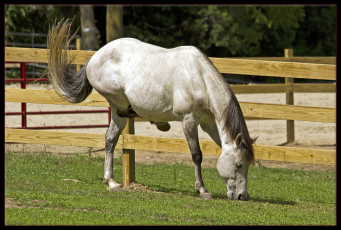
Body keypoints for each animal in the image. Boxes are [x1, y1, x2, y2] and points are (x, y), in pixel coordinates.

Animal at [47, 18, 255, 200]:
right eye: (238, 164)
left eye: (247, 165)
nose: (242, 196)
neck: (199, 78)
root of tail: (95, 57)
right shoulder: (189, 121)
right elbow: (197, 155)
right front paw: (202, 190)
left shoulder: (209, 124)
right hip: (118, 102)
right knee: (120, 118)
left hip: (117, 114)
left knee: (110, 140)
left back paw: (112, 182)